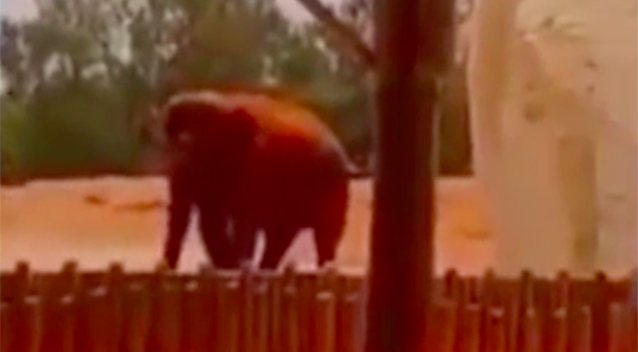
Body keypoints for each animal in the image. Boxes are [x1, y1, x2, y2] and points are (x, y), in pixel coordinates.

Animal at [161, 88, 360, 270]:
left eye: (200, 150)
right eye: (170, 149)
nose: (165, 268)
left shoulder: (254, 164)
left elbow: (243, 219)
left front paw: (238, 265)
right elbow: (212, 219)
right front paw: (231, 266)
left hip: (334, 186)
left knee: (325, 235)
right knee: (280, 236)